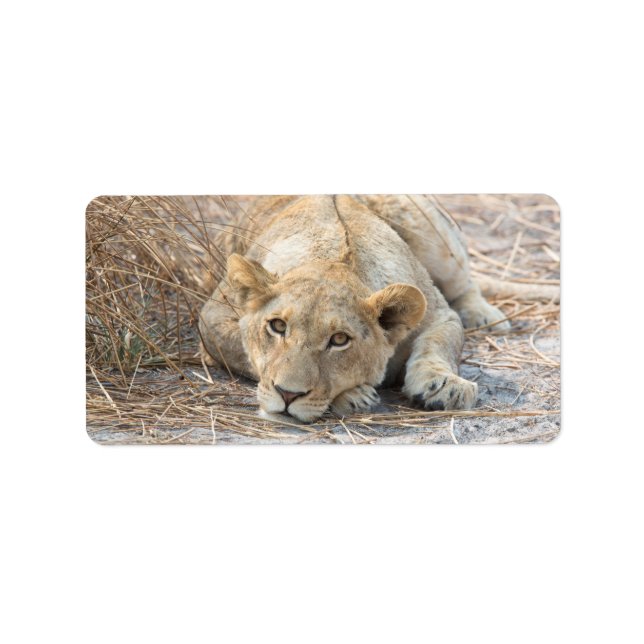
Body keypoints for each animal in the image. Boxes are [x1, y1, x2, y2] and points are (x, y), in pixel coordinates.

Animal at [198, 195, 510, 423]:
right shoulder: (211, 318)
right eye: (277, 326)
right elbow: (243, 352)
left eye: (339, 340)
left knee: (465, 283)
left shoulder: (440, 314)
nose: (287, 394)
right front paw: (353, 396)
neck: (334, 257)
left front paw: (446, 387)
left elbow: (440, 344)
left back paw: (485, 315)